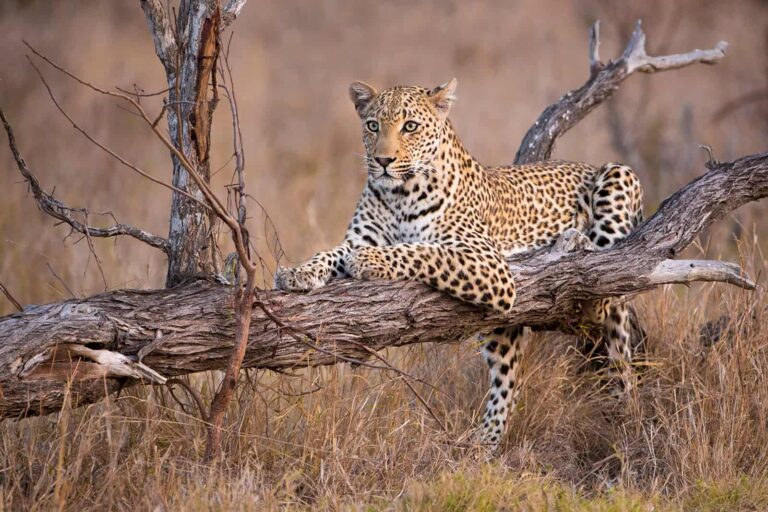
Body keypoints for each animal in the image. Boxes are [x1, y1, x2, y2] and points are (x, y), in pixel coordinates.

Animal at [274, 78, 645, 450]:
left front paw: (369, 260)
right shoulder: (359, 237)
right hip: (502, 326)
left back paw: (575, 242)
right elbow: (328, 253)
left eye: (410, 126)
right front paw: (297, 273)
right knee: (509, 377)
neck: (400, 195)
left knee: (604, 282)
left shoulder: (486, 261)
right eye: (373, 125)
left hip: (619, 174)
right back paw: (485, 442)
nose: (382, 160)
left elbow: (421, 250)